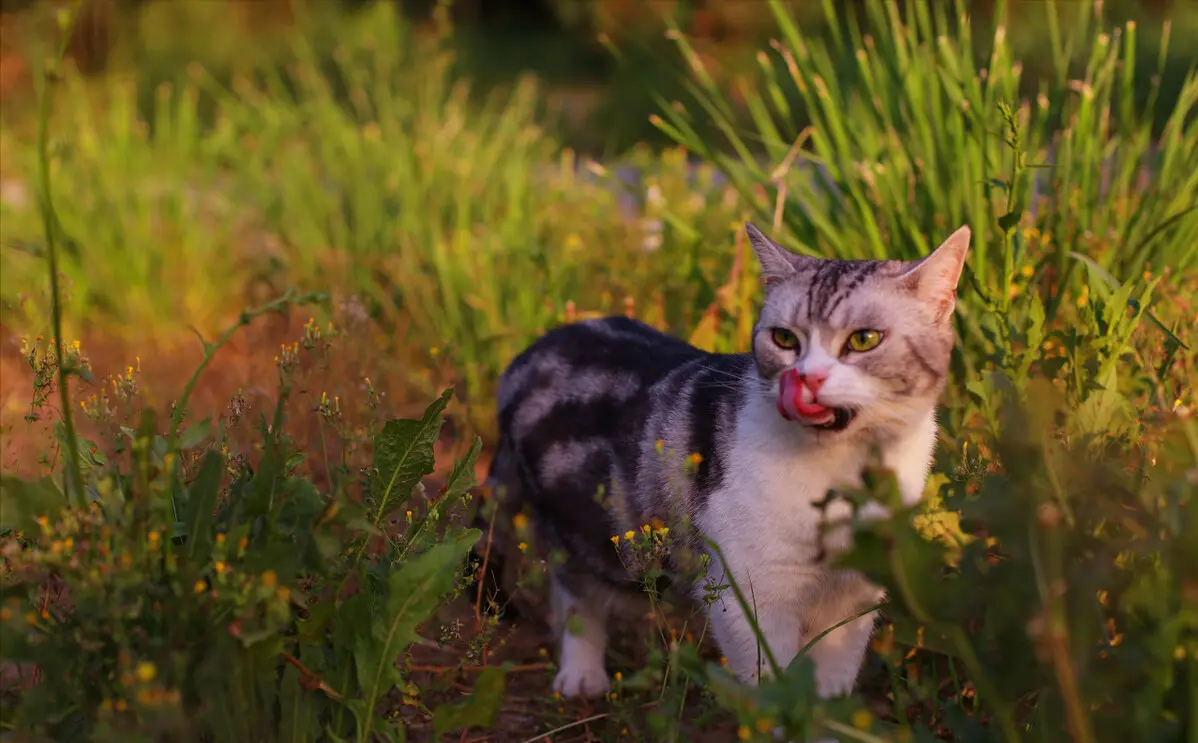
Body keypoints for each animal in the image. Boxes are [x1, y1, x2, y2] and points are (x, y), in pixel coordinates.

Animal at [481, 221, 967, 709]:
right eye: (785, 339)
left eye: (864, 339)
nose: (807, 377)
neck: (843, 472)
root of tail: (528, 354)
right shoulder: (750, 591)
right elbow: (775, 685)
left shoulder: (853, 597)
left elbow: (833, 677)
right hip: (584, 531)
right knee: (576, 595)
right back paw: (581, 674)